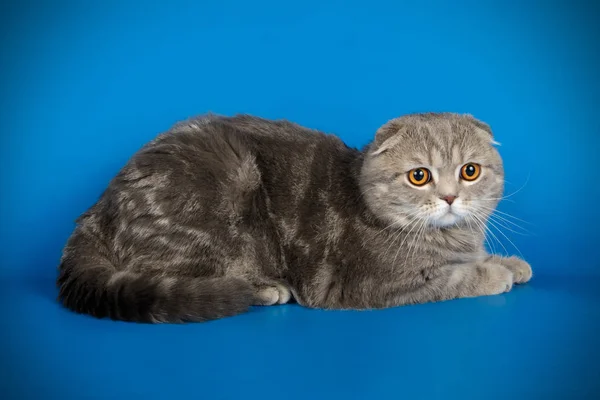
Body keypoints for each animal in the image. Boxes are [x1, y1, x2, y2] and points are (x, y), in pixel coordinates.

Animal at [57, 111, 536, 322]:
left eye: (470, 171)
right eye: (420, 176)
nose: (451, 197)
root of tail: (98, 208)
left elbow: (475, 258)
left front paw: (511, 262)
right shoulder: (378, 283)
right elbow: (456, 277)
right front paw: (495, 274)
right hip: (225, 194)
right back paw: (264, 289)